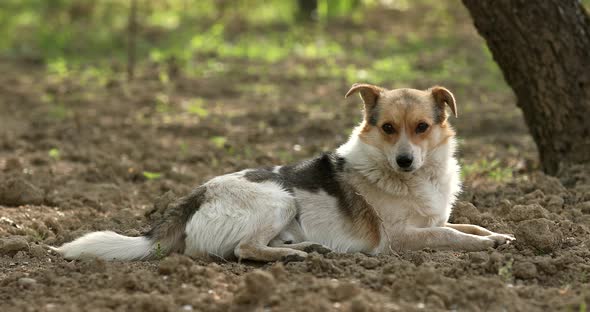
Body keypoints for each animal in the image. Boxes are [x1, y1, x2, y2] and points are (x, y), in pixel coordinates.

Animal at [55, 83, 520, 260]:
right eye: (388, 128)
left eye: (422, 127)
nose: (405, 159)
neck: (412, 178)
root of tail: (197, 195)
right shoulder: (399, 238)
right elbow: (453, 236)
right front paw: (488, 244)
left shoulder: (432, 219)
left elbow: (466, 224)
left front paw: (500, 234)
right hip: (278, 198)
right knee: (244, 250)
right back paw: (294, 255)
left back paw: (309, 248)